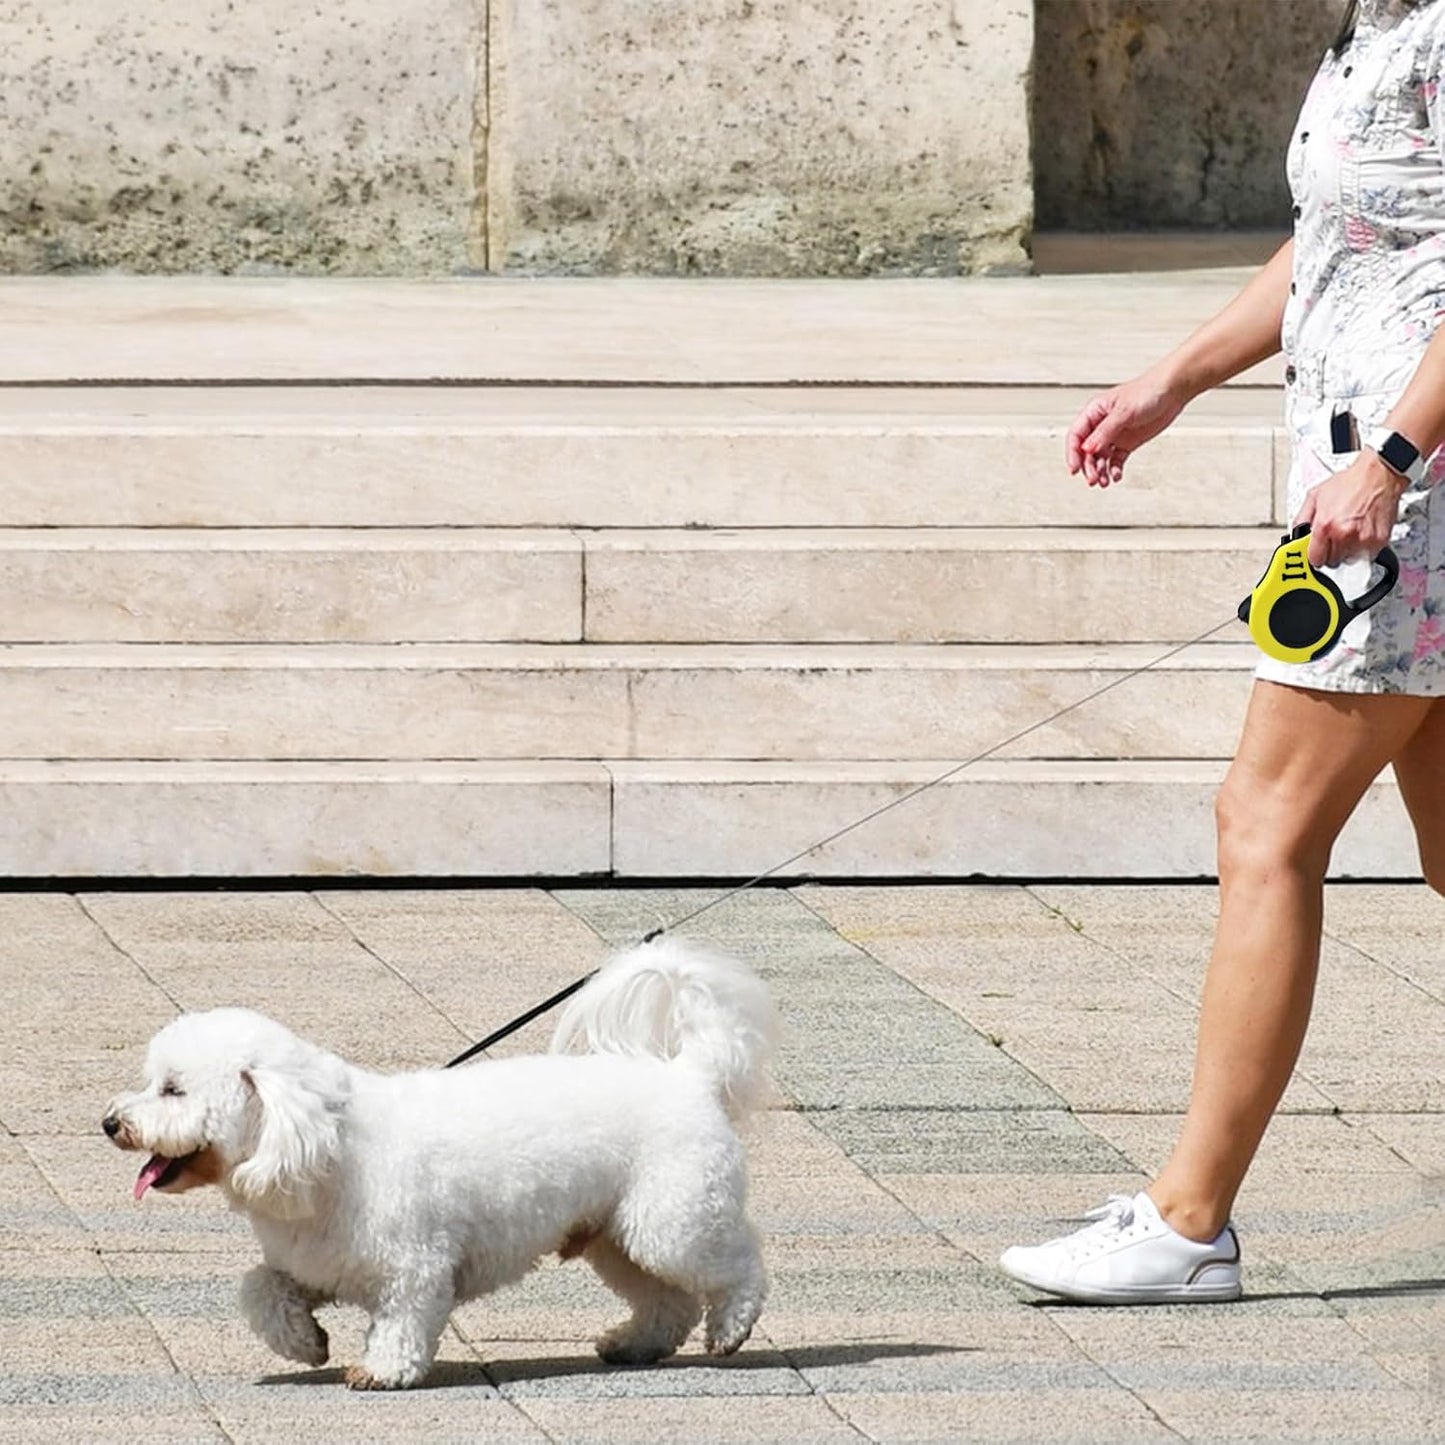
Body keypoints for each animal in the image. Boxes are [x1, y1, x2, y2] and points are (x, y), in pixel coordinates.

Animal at [98, 936, 780, 1387]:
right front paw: (305, 1341)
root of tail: (688, 1074)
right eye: (155, 1082)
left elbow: (403, 1319)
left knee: (736, 1265)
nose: (110, 1123)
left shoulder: (413, 1265)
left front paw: (382, 1370)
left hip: (673, 1217)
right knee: (667, 1300)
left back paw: (732, 1328)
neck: (322, 1145)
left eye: (173, 1089)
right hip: (617, 1232)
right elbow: (261, 1287)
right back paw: (634, 1344)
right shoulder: (312, 1261)